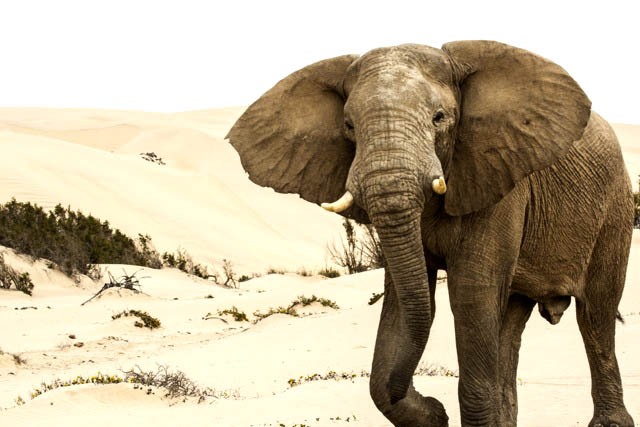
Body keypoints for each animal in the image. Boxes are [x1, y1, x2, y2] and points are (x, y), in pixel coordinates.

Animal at [226, 41, 635, 426]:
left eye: (439, 118)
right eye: (349, 126)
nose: (430, 402)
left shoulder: (497, 178)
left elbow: (471, 295)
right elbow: (406, 299)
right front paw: (432, 415)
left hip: (614, 207)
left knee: (595, 314)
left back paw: (610, 422)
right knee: (511, 324)